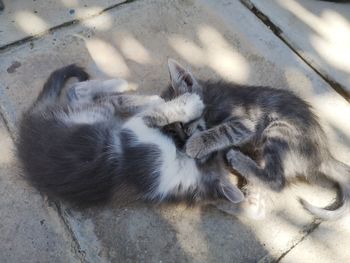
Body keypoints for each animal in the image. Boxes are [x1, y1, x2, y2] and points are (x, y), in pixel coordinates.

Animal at [17, 65, 243, 207]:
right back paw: (124, 85)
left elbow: (152, 115)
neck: (185, 173)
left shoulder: (139, 140)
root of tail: (29, 120)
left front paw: (186, 103)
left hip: (93, 114)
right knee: (79, 91)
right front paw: (189, 102)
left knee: (87, 94)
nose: (179, 136)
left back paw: (127, 88)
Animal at [162, 58, 350, 221]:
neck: (210, 103)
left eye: (182, 120)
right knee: (257, 207)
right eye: (173, 131)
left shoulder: (245, 122)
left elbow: (223, 130)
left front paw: (197, 144)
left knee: (276, 181)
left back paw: (236, 160)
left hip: (279, 130)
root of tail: (323, 155)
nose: (184, 136)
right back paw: (223, 200)